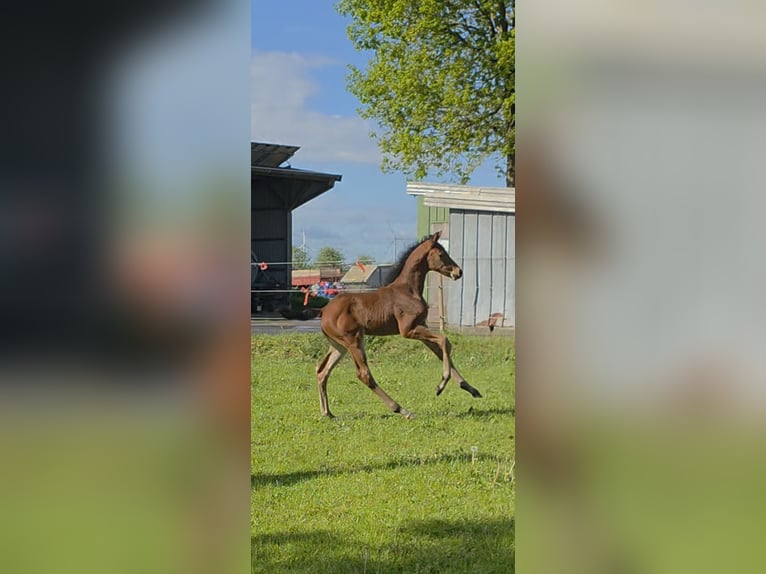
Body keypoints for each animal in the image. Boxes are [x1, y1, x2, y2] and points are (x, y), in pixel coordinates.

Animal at [315, 231, 482, 419]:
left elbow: (441, 350)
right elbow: (444, 340)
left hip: (339, 345)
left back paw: (327, 413)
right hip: (353, 341)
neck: (409, 290)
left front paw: (470, 388)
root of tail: (324, 311)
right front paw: (441, 385)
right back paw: (402, 410)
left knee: (322, 371)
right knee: (364, 374)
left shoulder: (421, 327)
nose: (458, 271)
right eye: (441, 254)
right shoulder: (408, 330)